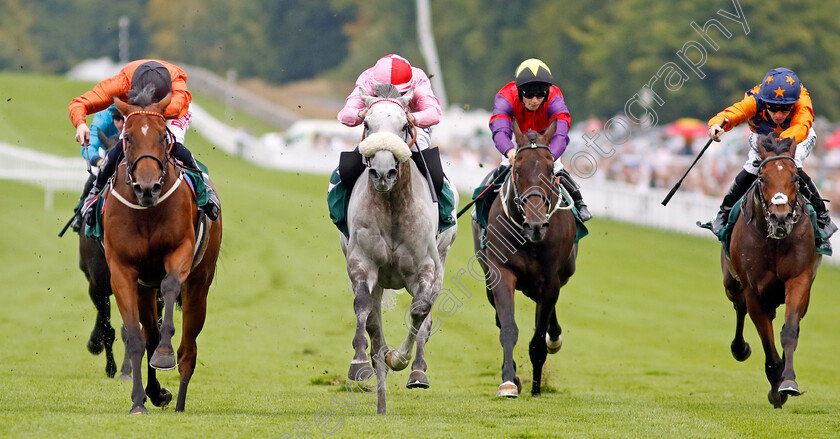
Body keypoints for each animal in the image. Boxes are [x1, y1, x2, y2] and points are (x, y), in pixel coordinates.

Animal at [104, 87, 223, 414]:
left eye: (162, 136)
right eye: (128, 137)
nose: (147, 188)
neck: (146, 211)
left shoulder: (180, 250)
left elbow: (170, 285)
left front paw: (165, 353)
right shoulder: (122, 271)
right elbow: (135, 338)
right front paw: (138, 402)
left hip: (199, 286)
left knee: (188, 350)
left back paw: (179, 401)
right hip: (145, 290)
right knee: (149, 334)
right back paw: (156, 393)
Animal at [340, 83, 460, 416]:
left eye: (405, 125)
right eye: (367, 124)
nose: (383, 172)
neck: (392, 205)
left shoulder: (425, 267)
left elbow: (420, 311)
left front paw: (400, 359)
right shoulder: (362, 262)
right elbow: (363, 307)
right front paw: (360, 364)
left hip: (441, 261)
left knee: (427, 316)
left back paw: (417, 370)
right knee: (374, 318)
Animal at [470, 126, 580, 398]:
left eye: (550, 170)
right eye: (517, 169)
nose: (536, 226)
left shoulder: (551, 281)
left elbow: (538, 340)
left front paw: (537, 388)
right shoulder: (501, 272)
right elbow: (508, 328)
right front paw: (509, 382)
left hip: (565, 272)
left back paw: (554, 339)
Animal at [720, 134, 820, 410]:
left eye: (795, 178)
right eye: (762, 178)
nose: (781, 217)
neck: (775, 240)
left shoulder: (799, 280)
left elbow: (789, 332)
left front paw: (788, 382)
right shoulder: (754, 291)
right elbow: (766, 340)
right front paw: (776, 388)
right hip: (731, 283)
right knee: (739, 307)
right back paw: (739, 348)